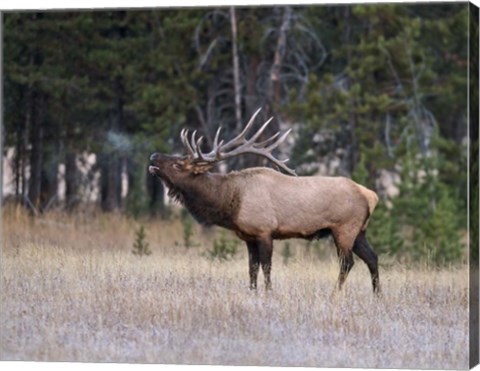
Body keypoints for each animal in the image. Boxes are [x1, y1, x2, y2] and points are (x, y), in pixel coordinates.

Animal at [148, 109, 380, 294]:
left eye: (178, 164)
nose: (153, 156)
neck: (231, 202)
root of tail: (371, 195)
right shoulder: (248, 237)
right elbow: (252, 269)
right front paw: (253, 292)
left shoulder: (265, 231)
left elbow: (267, 268)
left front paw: (269, 293)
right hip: (359, 231)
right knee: (372, 257)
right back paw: (377, 295)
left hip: (344, 228)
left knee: (347, 262)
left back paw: (335, 293)